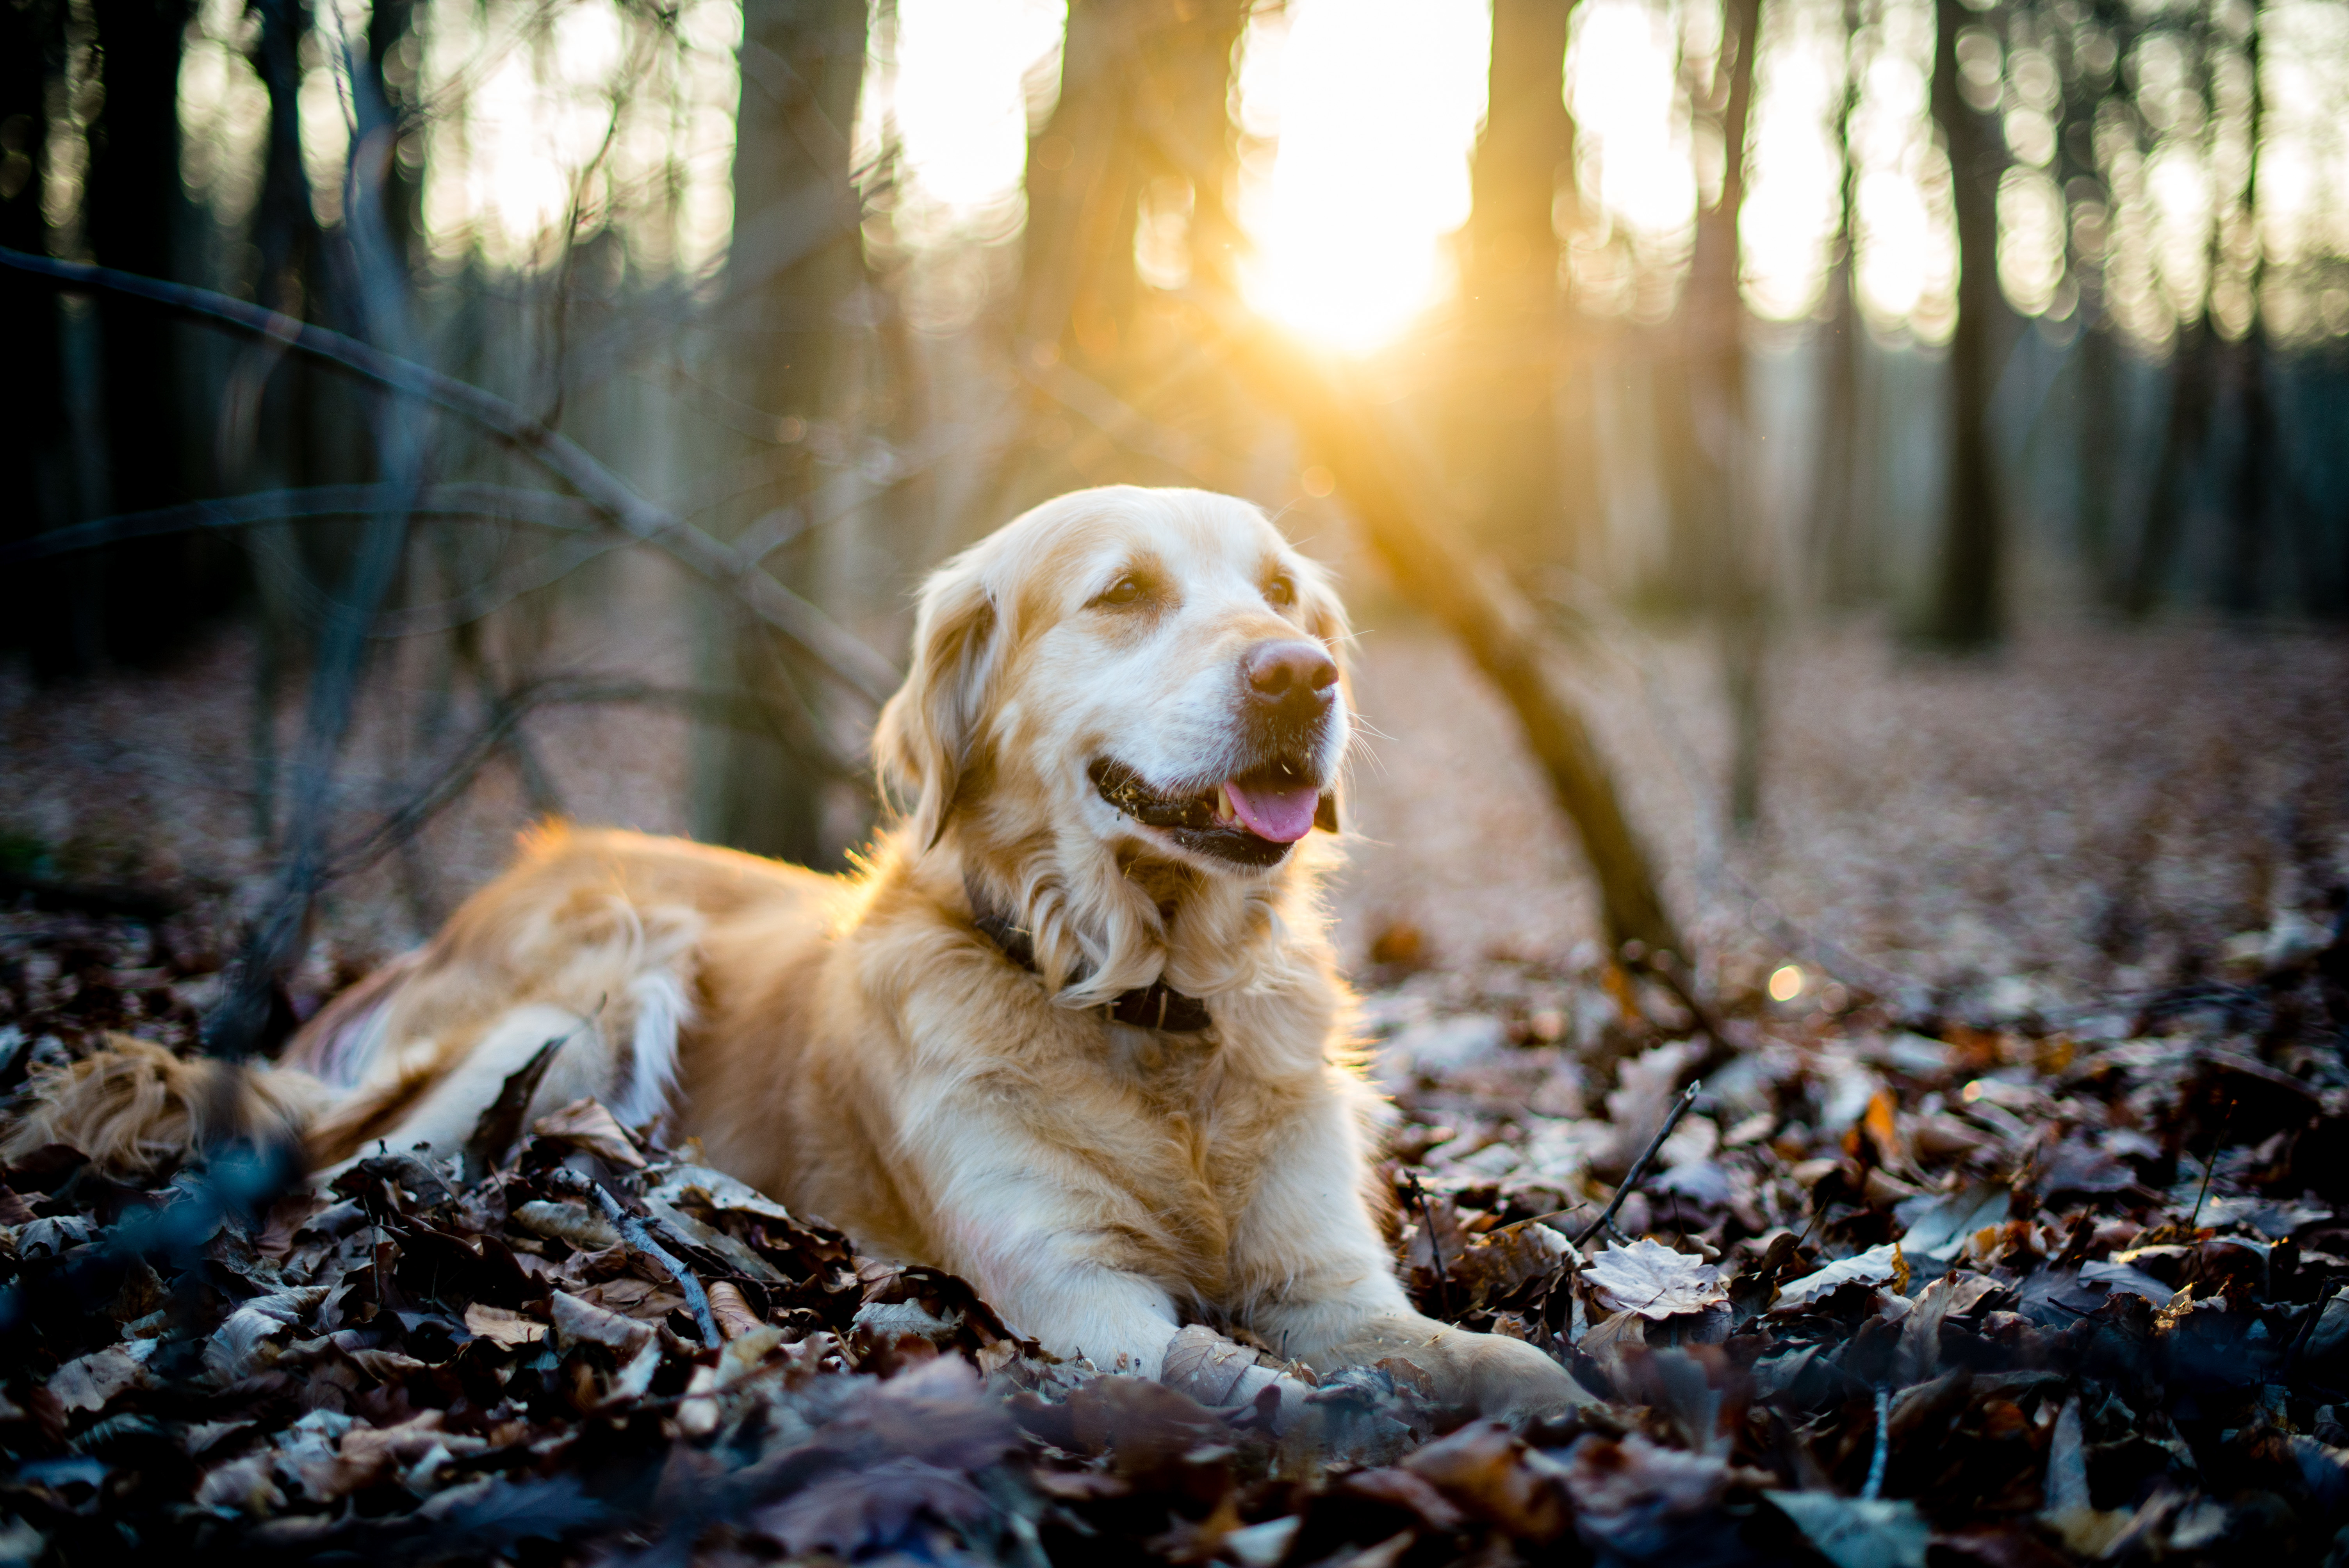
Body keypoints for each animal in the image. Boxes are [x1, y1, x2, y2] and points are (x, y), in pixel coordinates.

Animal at [9, 486, 1597, 1418]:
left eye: (1277, 597)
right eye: (1123, 596)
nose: (1301, 677)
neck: (1146, 1001)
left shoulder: (1327, 1278)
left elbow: (1477, 1355)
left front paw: (1564, 1397)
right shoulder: (1077, 1295)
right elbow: (1229, 1371)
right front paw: (1320, 1416)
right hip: (595, 979)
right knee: (339, 1164)